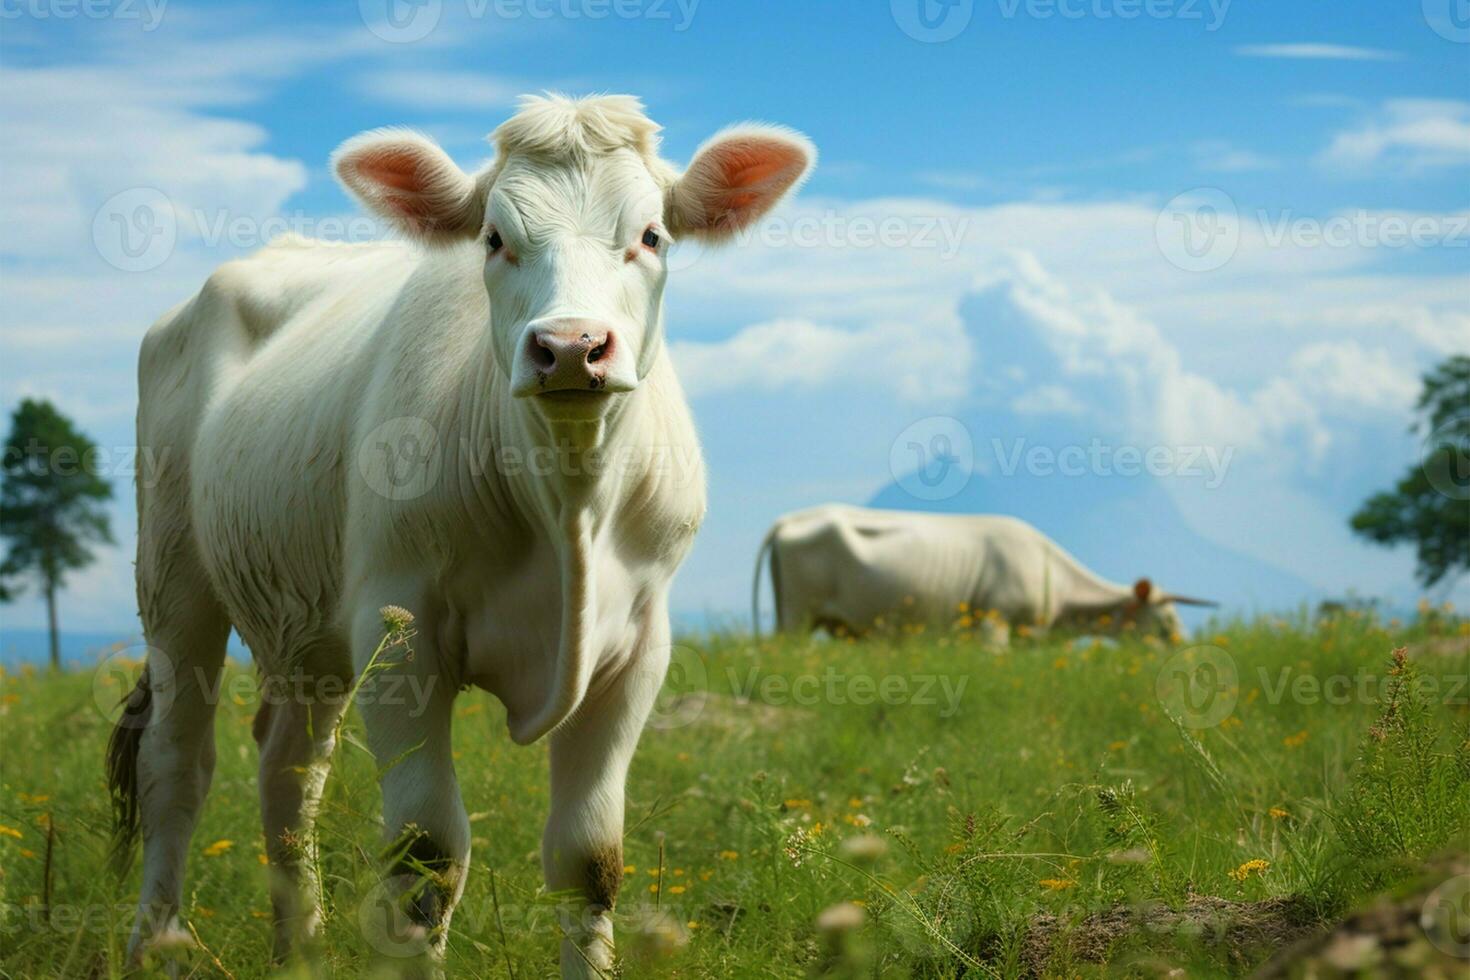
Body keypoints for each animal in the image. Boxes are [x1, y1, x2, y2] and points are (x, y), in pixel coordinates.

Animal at [106, 94, 817, 980]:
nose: (571, 347)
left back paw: (301, 946)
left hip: (306, 623)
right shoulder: (402, 635)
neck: (566, 507)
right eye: (494, 238)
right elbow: (426, 861)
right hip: (176, 578)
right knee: (177, 763)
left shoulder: (636, 649)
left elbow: (588, 859)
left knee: (289, 770)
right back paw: (154, 943)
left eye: (652, 236)